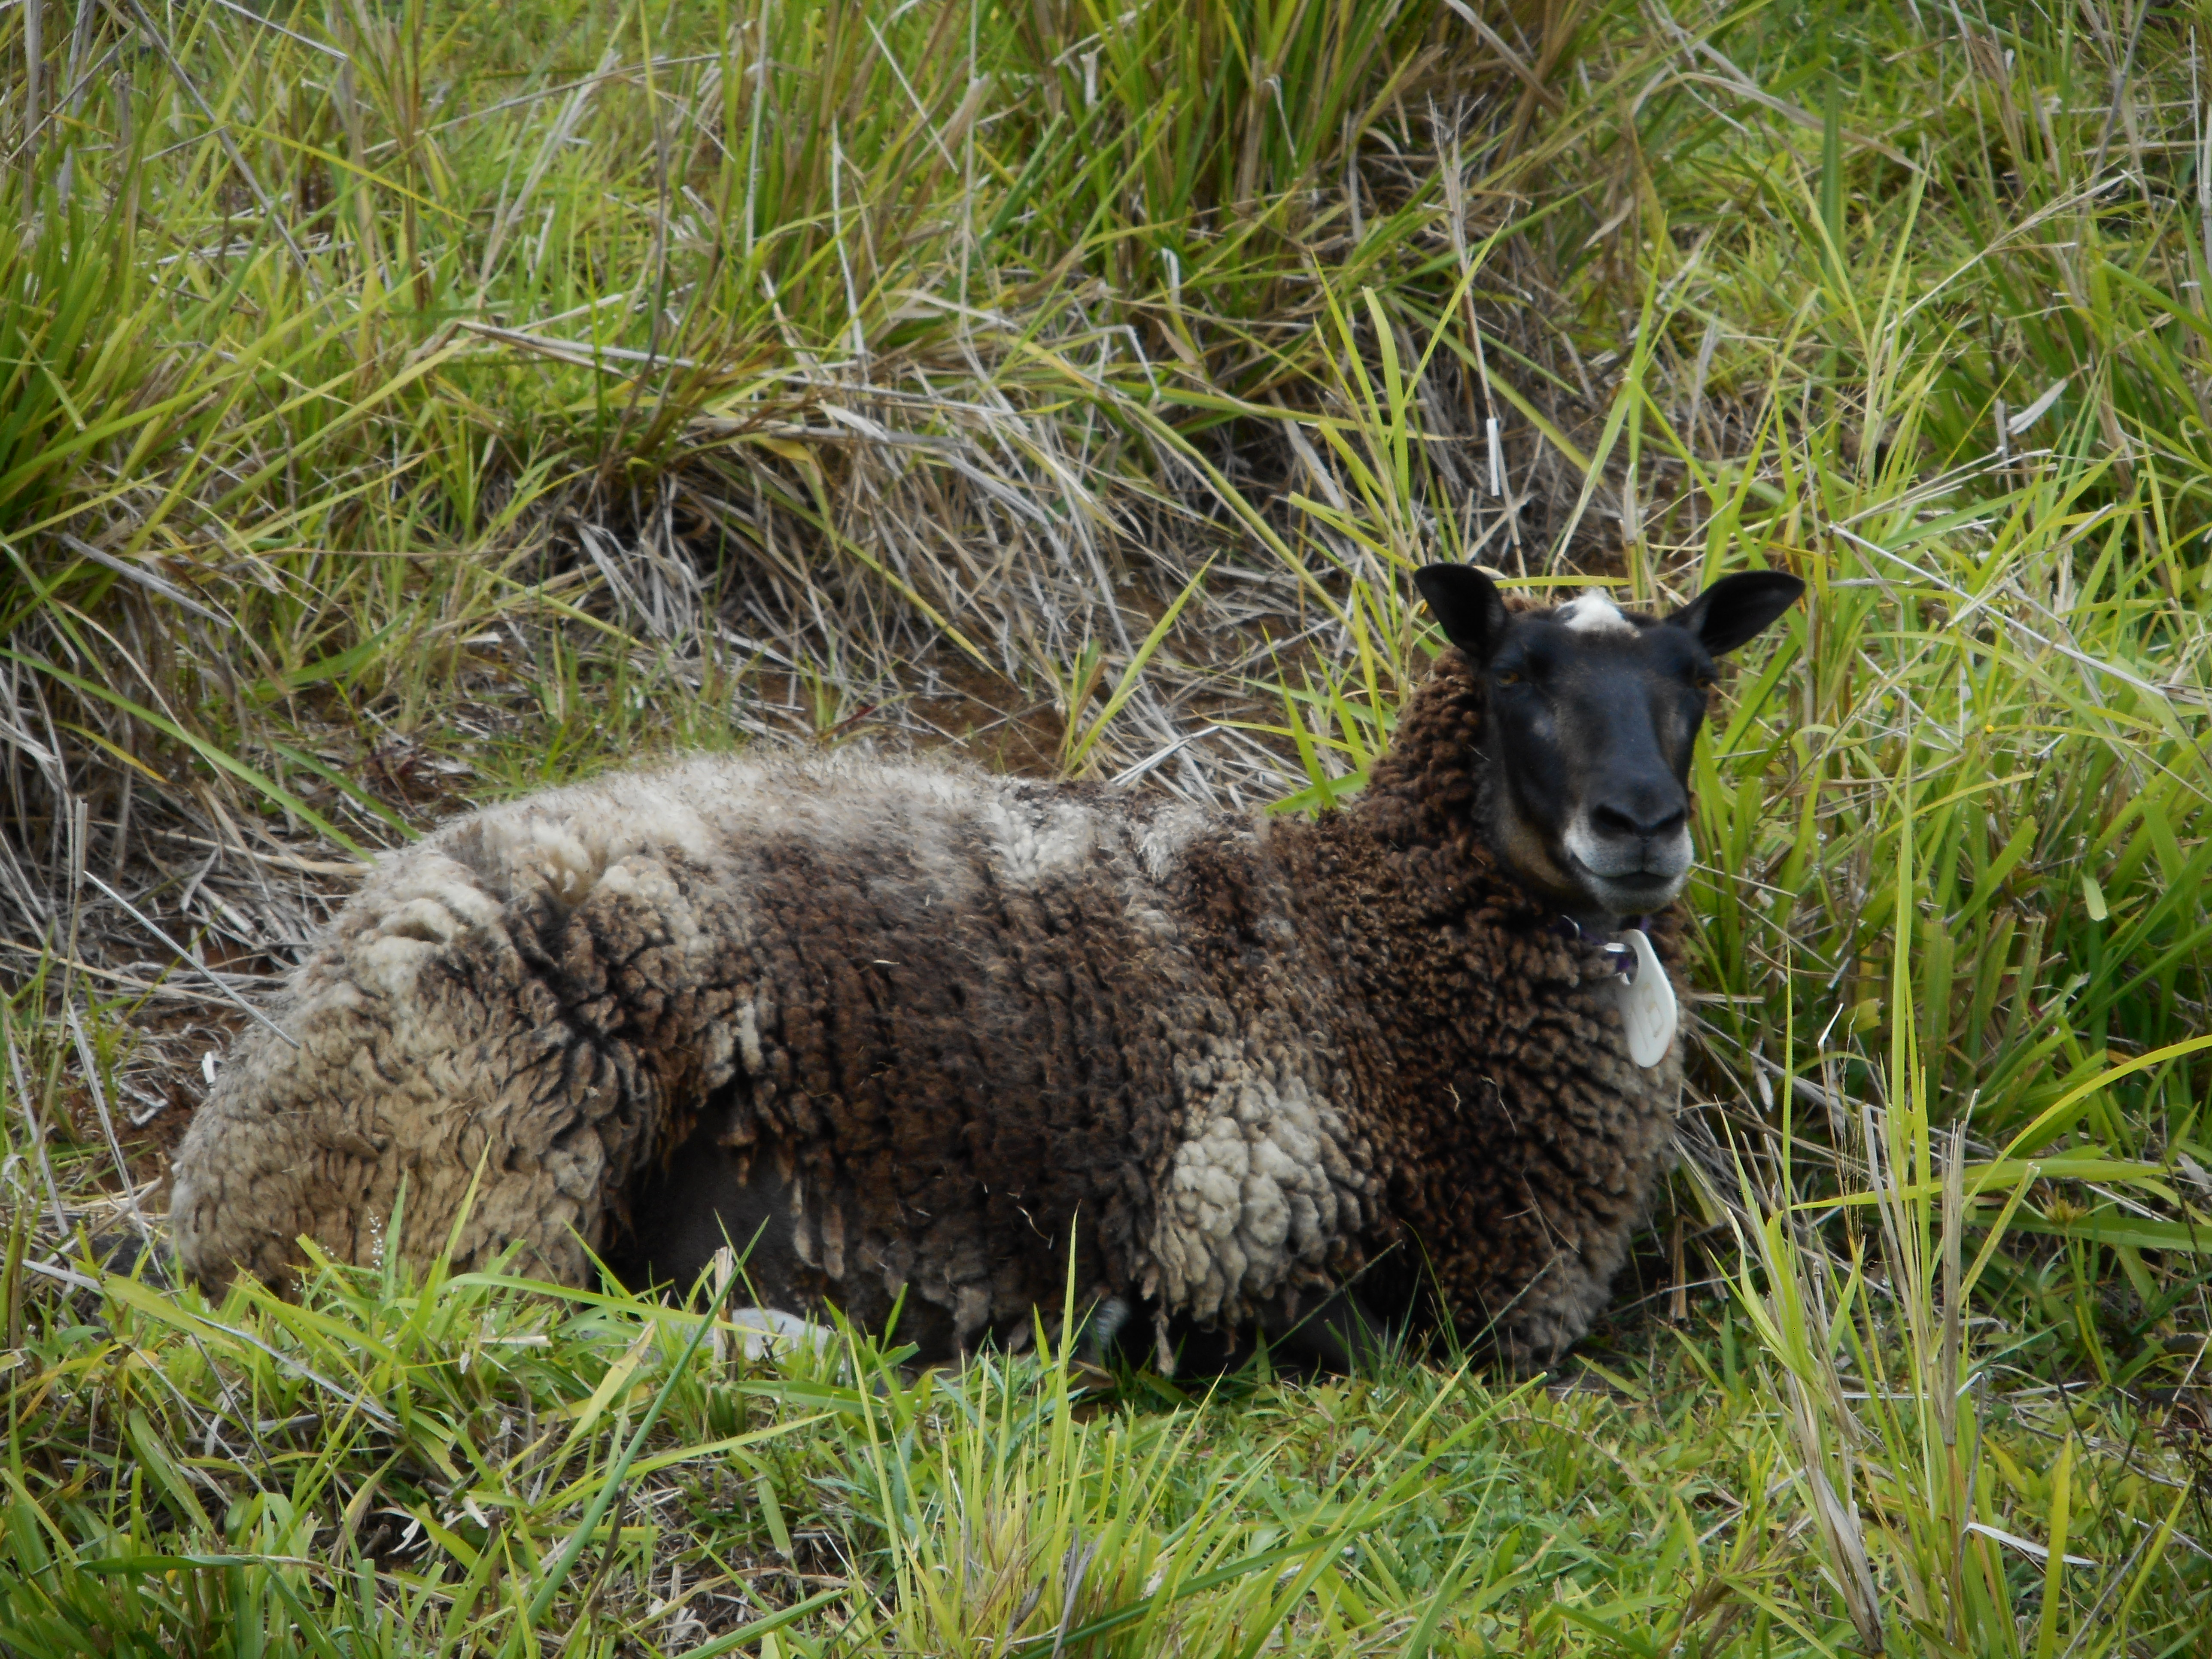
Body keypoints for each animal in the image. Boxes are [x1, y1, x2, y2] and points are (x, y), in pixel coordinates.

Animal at [168, 566, 1796, 1371]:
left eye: (1698, 682)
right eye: (1517, 677)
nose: (1640, 826)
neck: (1369, 957)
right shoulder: (1237, 1233)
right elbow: (1369, 1348)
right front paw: (1086, 1342)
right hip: (502, 1126)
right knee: (463, 1313)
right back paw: (791, 1341)